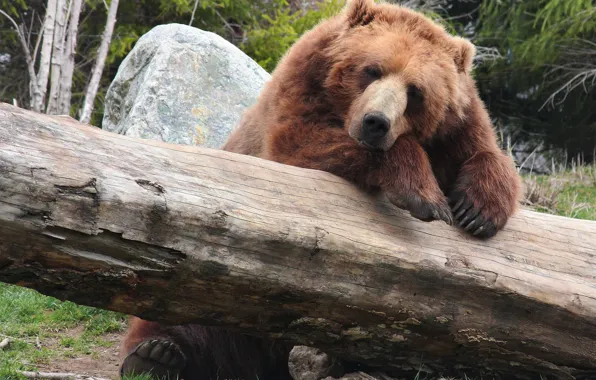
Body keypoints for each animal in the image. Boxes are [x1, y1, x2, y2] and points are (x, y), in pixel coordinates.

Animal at [120, 1, 520, 378]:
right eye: (372, 70)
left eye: (416, 91)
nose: (376, 122)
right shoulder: (301, 92)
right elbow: (303, 145)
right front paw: (425, 195)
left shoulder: (457, 129)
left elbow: (487, 153)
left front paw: (478, 209)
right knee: (184, 313)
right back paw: (156, 353)